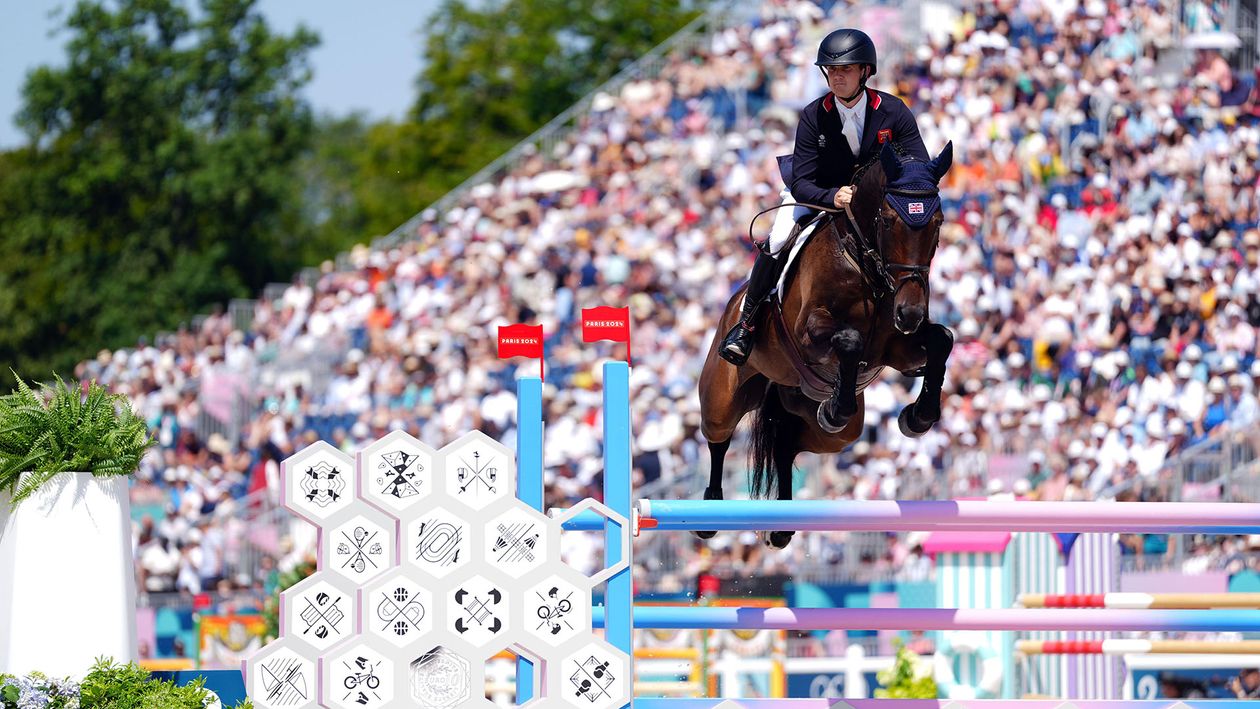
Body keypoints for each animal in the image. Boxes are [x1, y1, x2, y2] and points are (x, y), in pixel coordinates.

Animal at [695, 138, 947, 549]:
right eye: (889, 221)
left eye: (937, 224)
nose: (910, 313)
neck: (864, 263)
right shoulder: (810, 333)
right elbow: (848, 339)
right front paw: (839, 405)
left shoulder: (895, 346)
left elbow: (942, 339)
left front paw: (918, 417)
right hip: (723, 395)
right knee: (719, 436)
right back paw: (710, 513)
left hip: (833, 431)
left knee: (787, 443)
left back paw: (782, 526)